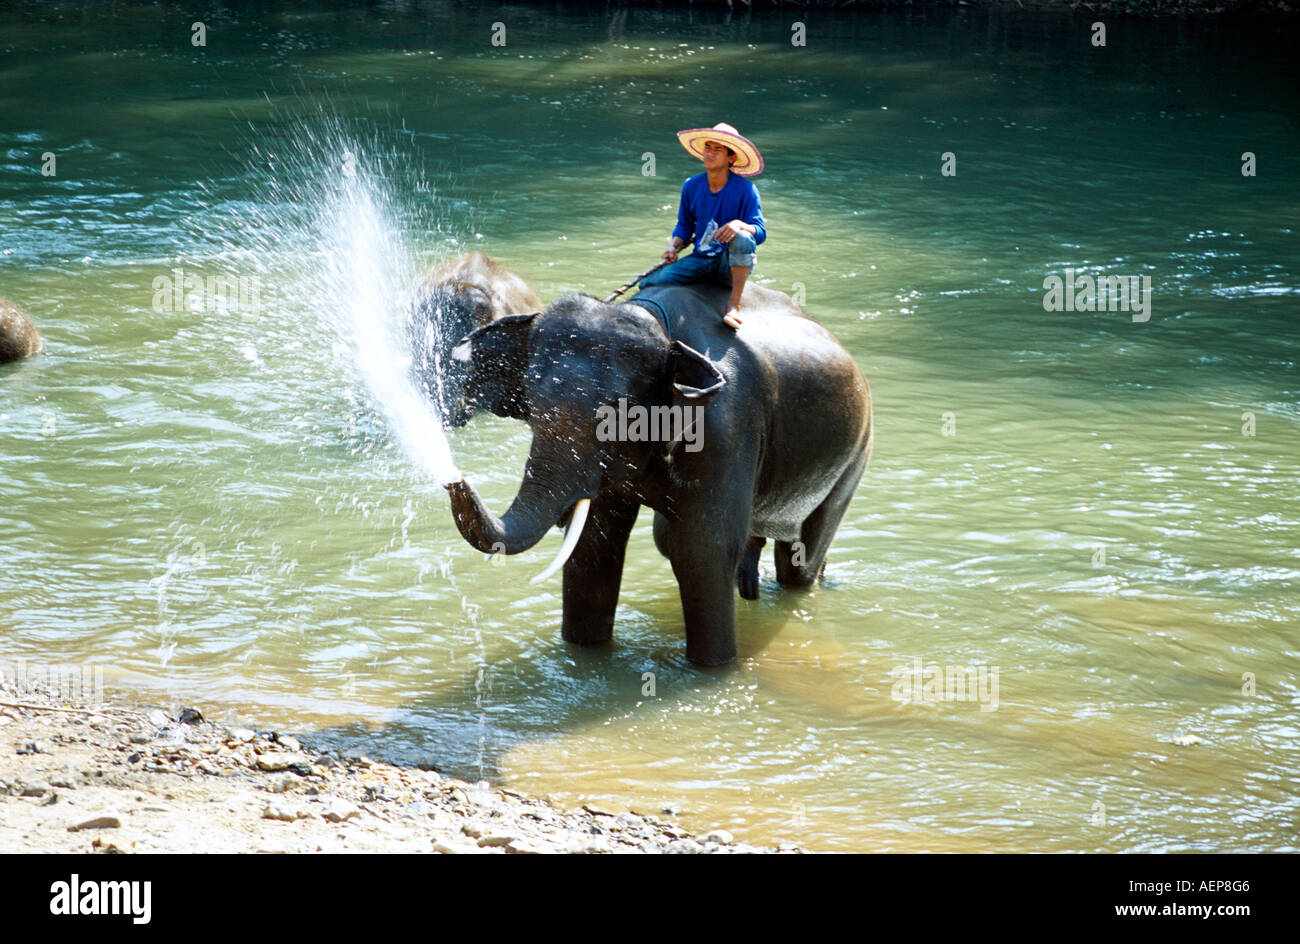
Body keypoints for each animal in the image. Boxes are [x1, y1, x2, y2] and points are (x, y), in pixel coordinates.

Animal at [444, 279, 873, 665]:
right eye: (531, 400)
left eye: (617, 413)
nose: (454, 479)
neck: (664, 335)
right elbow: (594, 547)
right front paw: (585, 653)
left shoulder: (725, 429)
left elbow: (702, 550)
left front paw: (713, 670)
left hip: (855, 454)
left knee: (799, 562)